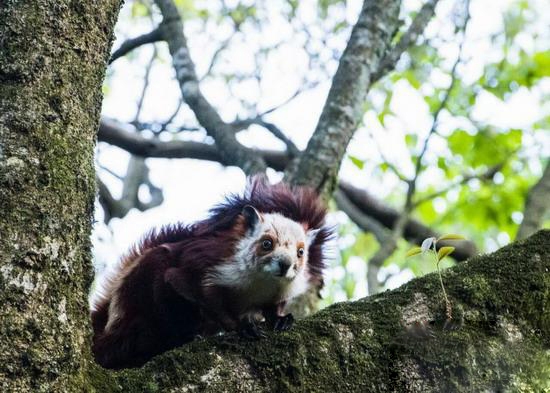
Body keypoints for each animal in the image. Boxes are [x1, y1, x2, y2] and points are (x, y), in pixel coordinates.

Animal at [90, 176, 332, 370]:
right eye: (266, 243)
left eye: (301, 252)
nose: (285, 264)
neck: (261, 283)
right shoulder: (203, 269)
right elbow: (207, 300)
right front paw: (243, 327)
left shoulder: (278, 293)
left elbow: (273, 308)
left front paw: (281, 320)